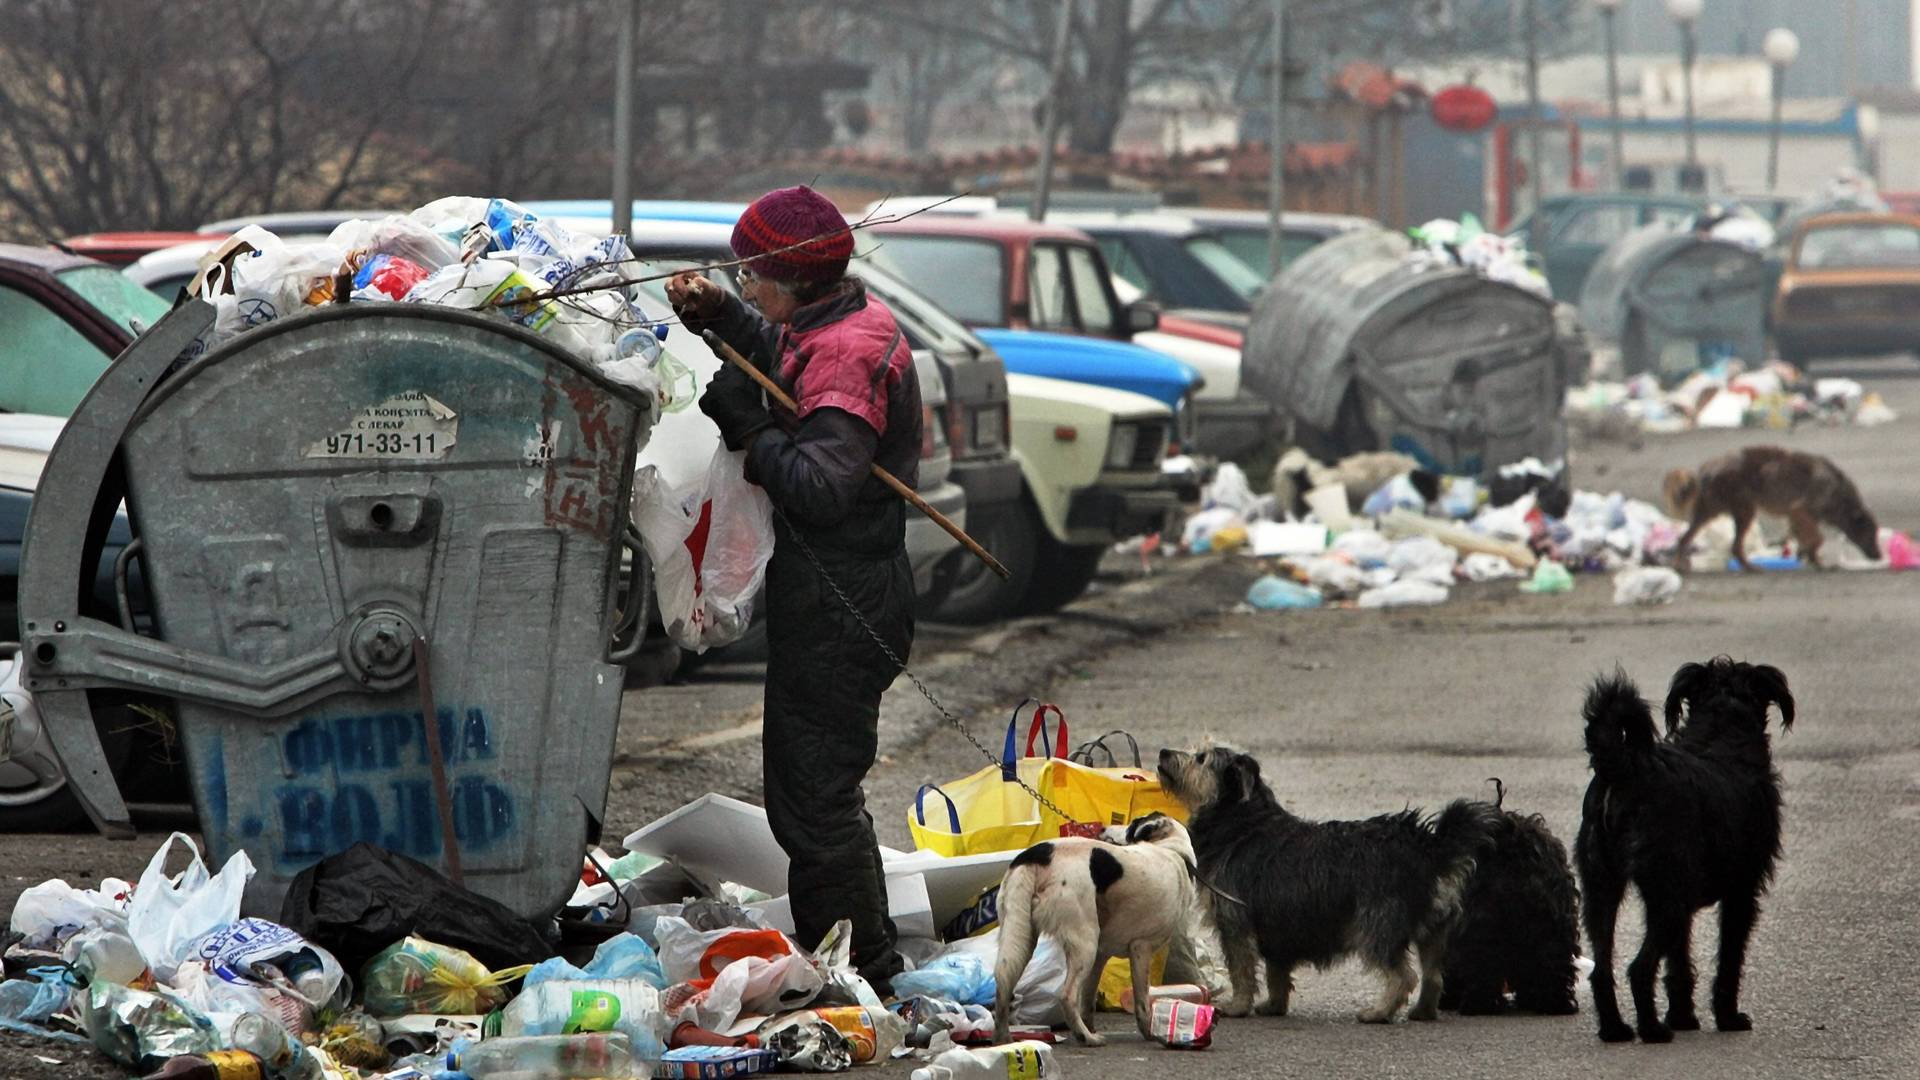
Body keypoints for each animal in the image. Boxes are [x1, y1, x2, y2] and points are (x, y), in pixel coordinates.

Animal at [990, 814, 1198, 1045]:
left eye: (1131, 825)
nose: (1103, 828)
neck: (1173, 852)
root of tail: (1038, 854)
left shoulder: (1101, 955)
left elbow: (1088, 1000)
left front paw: (1092, 1025)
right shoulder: (1141, 948)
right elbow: (1142, 1001)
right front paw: (1150, 1032)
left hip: (1020, 936)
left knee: (1003, 985)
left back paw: (1004, 1038)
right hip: (1084, 943)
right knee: (1067, 995)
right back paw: (1086, 1037)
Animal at [1152, 745, 1497, 1022]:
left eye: (1201, 757)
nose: (1164, 752)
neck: (1242, 824)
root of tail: (1428, 846)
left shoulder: (1234, 922)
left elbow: (1242, 971)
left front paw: (1238, 1007)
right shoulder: (1277, 927)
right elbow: (1277, 973)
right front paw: (1274, 1006)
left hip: (1376, 926)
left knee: (1403, 975)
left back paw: (1379, 1012)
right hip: (1434, 931)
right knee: (1433, 976)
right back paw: (1422, 1011)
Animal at [1582, 661, 1789, 1037]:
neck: (1721, 734)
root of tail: (1625, 769)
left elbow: (1679, 962)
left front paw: (1682, 1018)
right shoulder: (1741, 892)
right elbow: (1729, 958)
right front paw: (1727, 1017)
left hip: (1602, 890)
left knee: (1602, 969)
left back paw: (1616, 1030)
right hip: (1668, 898)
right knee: (1640, 968)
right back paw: (1651, 1030)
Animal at [1658, 443, 1881, 568]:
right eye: (1870, 534)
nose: (1879, 556)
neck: (1839, 494)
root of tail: (1702, 470)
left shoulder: (1797, 515)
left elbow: (1804, 538)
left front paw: (1808, 556)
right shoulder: (1800, 509)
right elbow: (1817, 538)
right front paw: (1816, 561)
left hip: (1713, 511)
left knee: (1687, 538)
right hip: (1742, 510)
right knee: (1730, 546)